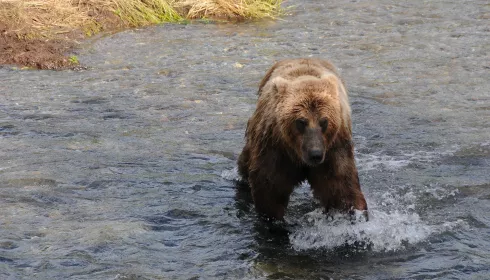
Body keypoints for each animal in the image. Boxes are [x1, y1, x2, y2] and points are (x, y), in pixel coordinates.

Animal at [237, 58, 368, 221]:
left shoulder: (334, 148)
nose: (315, 154)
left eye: (324, 121)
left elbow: (341, 185)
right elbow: (270, 187)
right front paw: (273, 218)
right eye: (301, 121)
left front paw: (355, 213)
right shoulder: (276, 147)